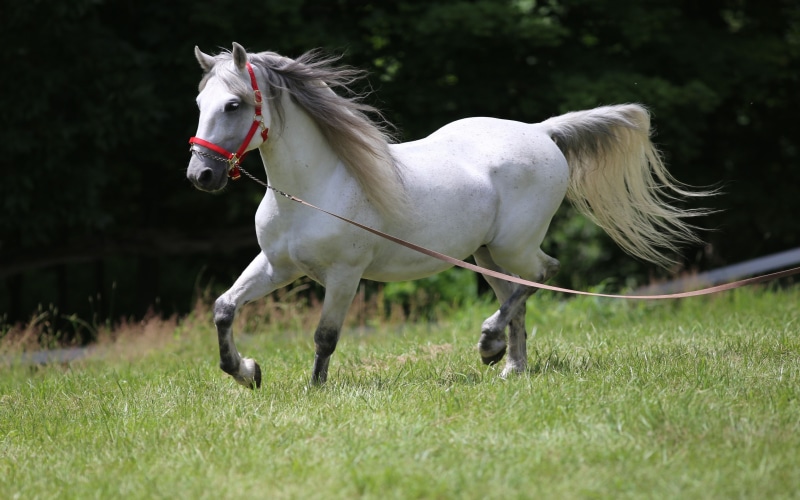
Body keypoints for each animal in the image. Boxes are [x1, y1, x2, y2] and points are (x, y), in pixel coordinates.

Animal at [187, 42, 711, 389]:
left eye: (234, 104)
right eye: (199, 103)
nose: (201, 175)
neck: (312, 189)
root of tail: (541, 132)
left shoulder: (344, 275)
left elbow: (325, 336)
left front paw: (315, 392)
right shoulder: (278, 266)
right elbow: (224, 308)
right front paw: (248, 373)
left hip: (513, 246)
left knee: (542, 275)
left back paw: (488, 345)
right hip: (486, 254)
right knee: (518, 295)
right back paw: (510, 367)